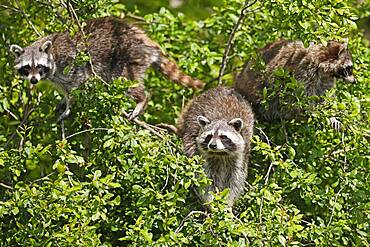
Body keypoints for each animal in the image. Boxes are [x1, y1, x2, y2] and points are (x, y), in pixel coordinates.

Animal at [10, 15, 204, 121]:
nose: (34, 80)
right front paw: (64, 102)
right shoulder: (55, 77)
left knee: (126, 82)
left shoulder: (68, 64)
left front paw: (69, 107)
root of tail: (144, 39)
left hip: (127, 57)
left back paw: (141, 99)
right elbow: (65, 89)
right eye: (27, 68)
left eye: (39, 66)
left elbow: (76, 85)